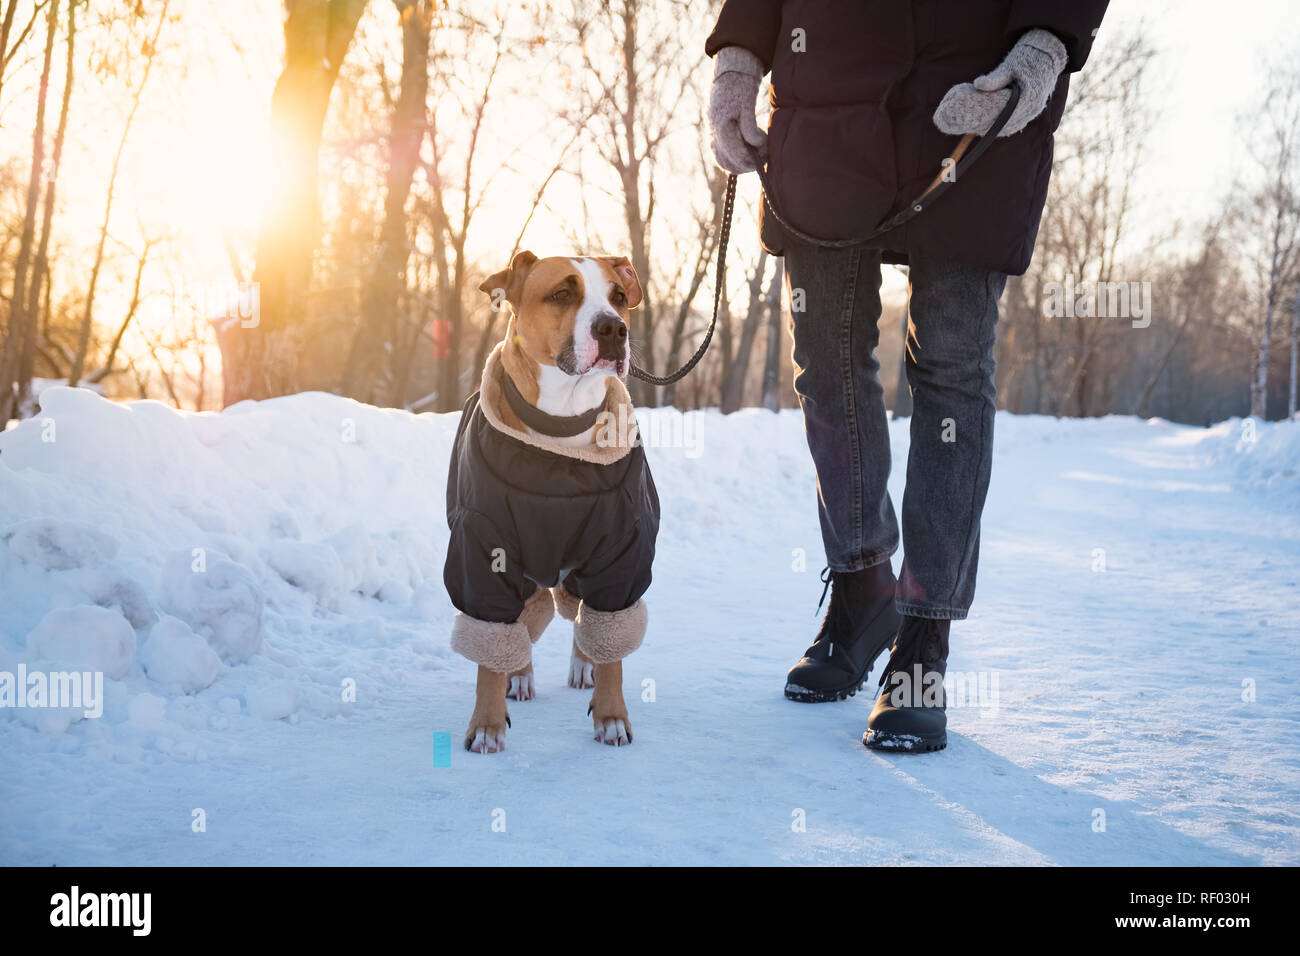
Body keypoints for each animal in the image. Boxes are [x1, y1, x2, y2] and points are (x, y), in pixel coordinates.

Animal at [444, 252, 660, 754]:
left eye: (618, 296)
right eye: (562, 294)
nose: (614, 328)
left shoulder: (621, 551)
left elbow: (612, 643)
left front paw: (611, 716)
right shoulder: (485, 549)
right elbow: (491, 645)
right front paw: (486, 724)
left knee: (585, 621)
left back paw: (583, 665)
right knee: (521, 624)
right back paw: (519, 676)